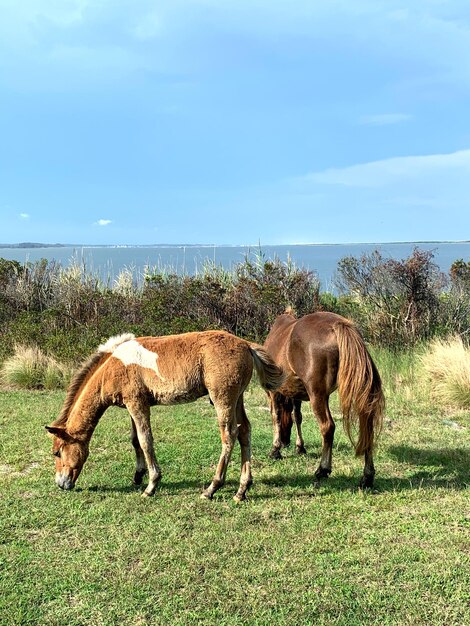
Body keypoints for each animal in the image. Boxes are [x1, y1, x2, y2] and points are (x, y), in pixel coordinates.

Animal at [264, 310, 386, 486]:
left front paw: (275, 450)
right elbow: (297, 416)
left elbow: (276, 416)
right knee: (367, 426)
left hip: (318, 396)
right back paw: (367, 476)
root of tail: (337, 325)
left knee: (328, 427)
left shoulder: (274, 392)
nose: (285, 441)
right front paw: (299, 447)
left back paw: (323, 469)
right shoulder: (296, 394)